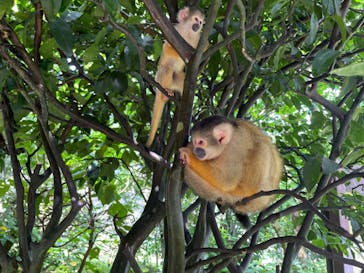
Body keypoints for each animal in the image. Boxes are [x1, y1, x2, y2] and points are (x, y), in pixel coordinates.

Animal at [146, 6, 206, 147]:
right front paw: (187, 53)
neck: (188, 33)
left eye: (201, 22)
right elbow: (167, 48)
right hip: (159, 79)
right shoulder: (176, 30)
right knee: (165, 69)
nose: (198, 25)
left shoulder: (197, 39)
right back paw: (165, 92)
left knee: (183, 79)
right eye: (196, 19)